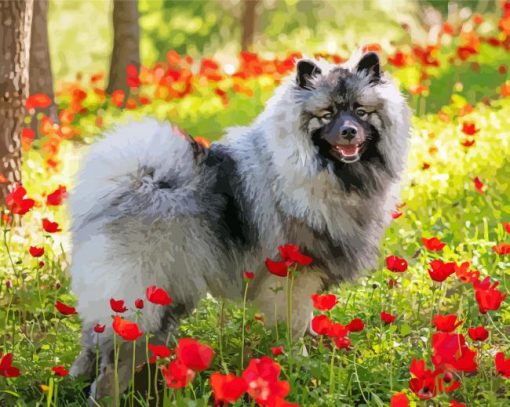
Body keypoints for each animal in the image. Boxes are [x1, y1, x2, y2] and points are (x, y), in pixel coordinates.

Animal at [67, 49, 410, 404]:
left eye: (360, 111)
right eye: (326, 114)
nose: (349, 132)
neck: (332, 177)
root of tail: (134, 184)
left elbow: (309, 322)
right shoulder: (293, 277)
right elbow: (296, 325)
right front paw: (299, 362)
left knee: (93, 345)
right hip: (139, 300)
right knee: (112, 364)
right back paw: (106, 396)